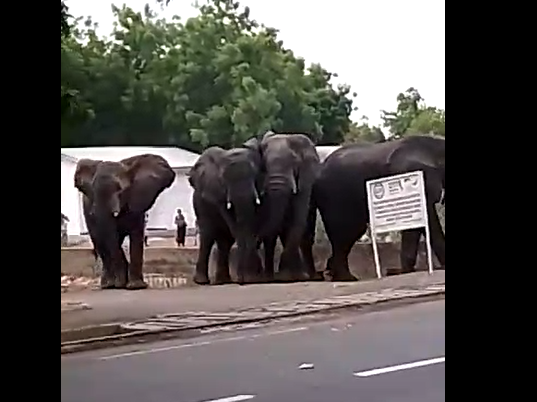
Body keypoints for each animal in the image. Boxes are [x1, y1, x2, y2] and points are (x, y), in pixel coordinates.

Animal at [72, 154, 174, 288]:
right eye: (93, 191)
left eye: (119, 189)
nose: (121, 284)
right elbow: (110, 238)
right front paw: (121, 284)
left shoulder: (136, 200)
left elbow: (136, 235)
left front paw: (136, 286)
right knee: (100, 242)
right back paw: (108, 285)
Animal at [188, 140, 264, 284]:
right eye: (224, 179)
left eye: (254, 174)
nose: (243, 280)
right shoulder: (217, 192)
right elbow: (234, 224)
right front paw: (249, 278)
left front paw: (251, 277)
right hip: (200, 206)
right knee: (208, 236)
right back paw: (202, 281)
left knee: (224, 241)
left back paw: (223, 280)